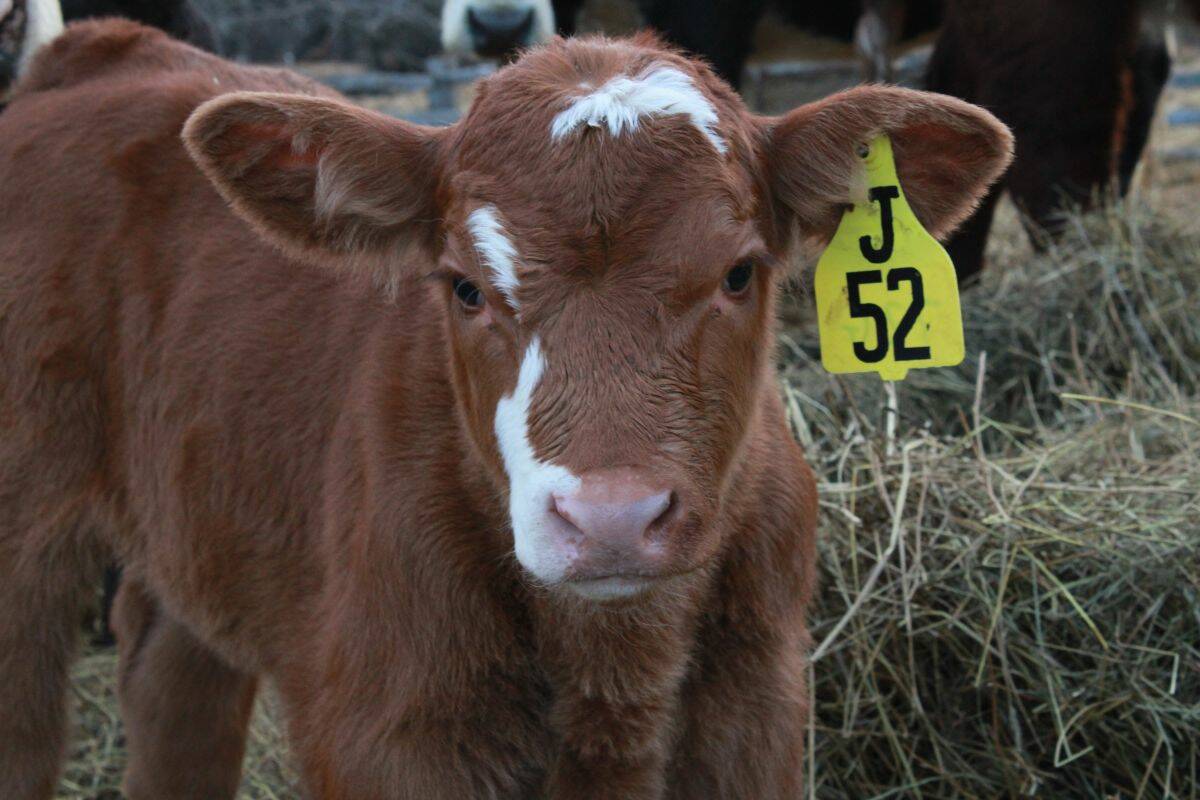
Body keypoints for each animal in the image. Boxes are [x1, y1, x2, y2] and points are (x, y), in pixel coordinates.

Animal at [0, 16, 1012, 799]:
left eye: (738, 273)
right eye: (465, 288)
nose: (611, 519)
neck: (617, 678)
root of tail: (102, 52)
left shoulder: (758, 716)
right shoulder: (389, 731)